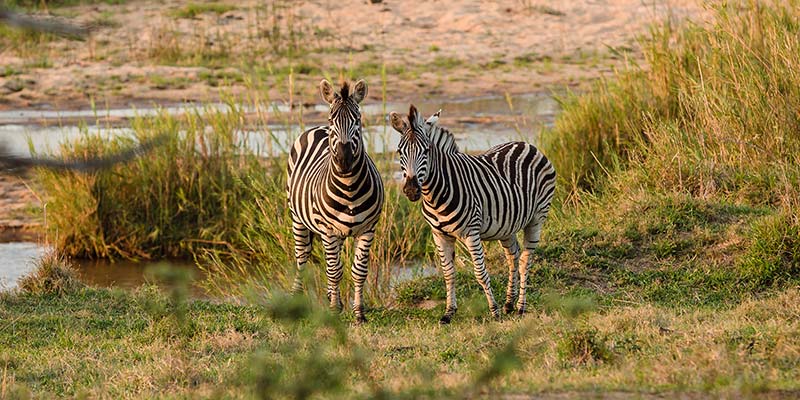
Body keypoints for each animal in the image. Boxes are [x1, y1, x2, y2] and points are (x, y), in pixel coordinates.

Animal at [287, 79, 384, 323]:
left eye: (357, 119)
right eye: (332, 119)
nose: (344, 159)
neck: (349, 188)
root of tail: (317, 129)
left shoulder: (368, 229)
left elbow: (358, 270)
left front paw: (358, 313)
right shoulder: (328, 229)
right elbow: (334, 270)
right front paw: (333, 310)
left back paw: (333, 297)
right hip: (298, 218)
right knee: (302, 257)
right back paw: (297, 296)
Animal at [390, 105, 556, 323]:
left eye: (426, 151)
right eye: (399, 151)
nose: (411, 190)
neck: (435, 194)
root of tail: (527, 144)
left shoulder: (471, 233)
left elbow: (480, 273)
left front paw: (493, 311)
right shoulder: (439, 235)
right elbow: (448, 274)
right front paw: (448, 312)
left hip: (537, 218)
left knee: (525, 261)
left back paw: (520, 307)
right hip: (507, 226)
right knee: (513, 256)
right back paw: (509, 304)